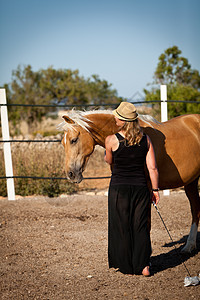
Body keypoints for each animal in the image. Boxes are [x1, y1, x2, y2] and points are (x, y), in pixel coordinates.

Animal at [59, 110, 200, 253]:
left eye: (73, 140)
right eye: (63, 144)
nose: (70, 174)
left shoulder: (147, 189)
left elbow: (146, 222)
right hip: (191, 182)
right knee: (195, 210)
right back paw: (189, 246)